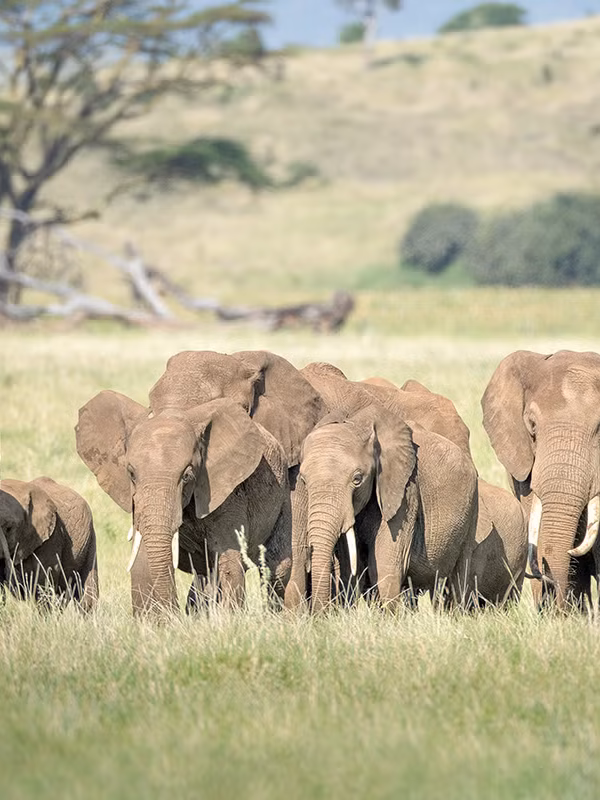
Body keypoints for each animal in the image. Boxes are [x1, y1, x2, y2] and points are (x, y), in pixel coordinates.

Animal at [76, 392, 291, 615]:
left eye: (187, 476)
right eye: (131, 473)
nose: (174, 612)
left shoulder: (229, 493)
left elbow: (229, 560)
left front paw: (229, 617)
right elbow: (143, 560)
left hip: (284, 495)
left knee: (276, 568)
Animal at [284, 363, 479, 611]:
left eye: (357, 479)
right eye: (304, 480)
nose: (319, 615)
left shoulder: (405, 489)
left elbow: (386, 566)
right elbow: (351, 566)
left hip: (472, 507)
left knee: (458, 576)